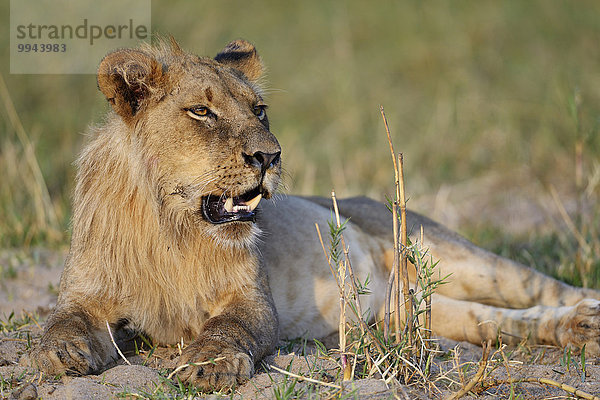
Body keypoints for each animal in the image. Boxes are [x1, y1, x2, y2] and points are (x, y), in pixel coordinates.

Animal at [29, 38, 600, 390]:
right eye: (202, 111)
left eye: (258, 111)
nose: (269, 156)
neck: (173, 227)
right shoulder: (85, 293)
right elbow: (62, 321)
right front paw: (62, 353)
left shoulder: (253, 300)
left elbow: (229, 328)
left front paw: (209, 365)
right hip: (408, 313)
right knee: (497, 322)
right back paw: (577, 329)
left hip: (444, 249)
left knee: (543, 287)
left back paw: (586, 314)